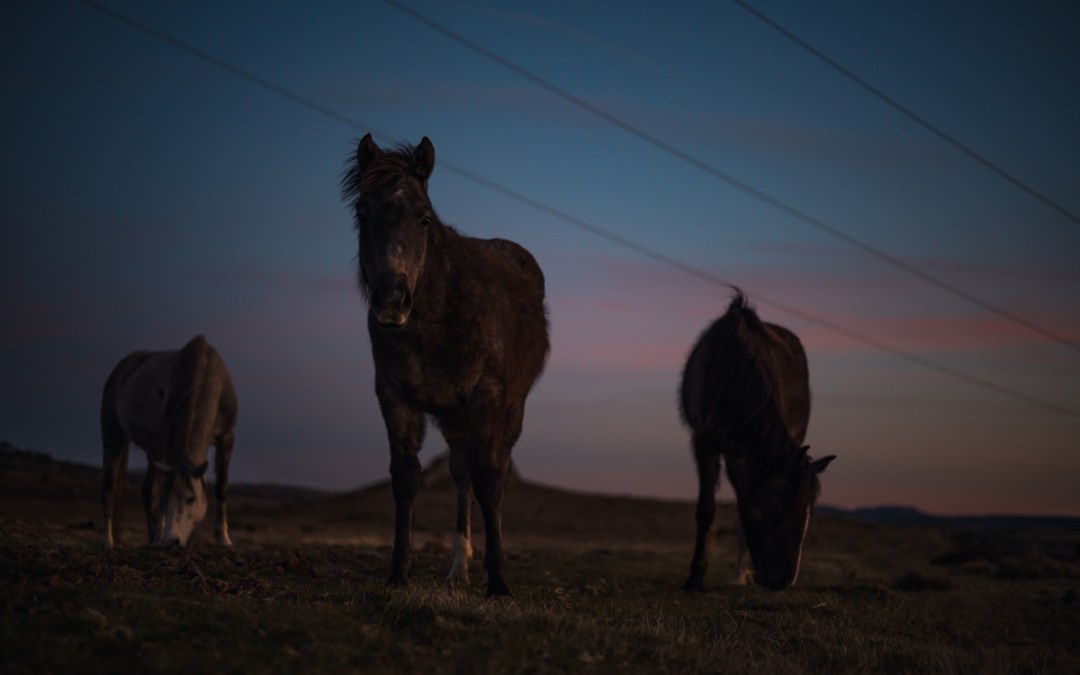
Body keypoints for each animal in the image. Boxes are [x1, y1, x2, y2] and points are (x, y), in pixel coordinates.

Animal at [100, 335, 237, 549]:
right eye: (167, 498)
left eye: (191, 499)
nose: (171, 542)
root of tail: (119, 371)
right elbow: (159, 492)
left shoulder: (227, 438)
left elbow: (221, 487)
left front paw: (223, 539)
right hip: (113, 437)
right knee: (109, 486)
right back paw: (108, 541)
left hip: (153, 452)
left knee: (147, 490)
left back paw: (153, 539)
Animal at [343, 134, 550, 597]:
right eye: (362, 214)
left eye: (423, 219)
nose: (391, 300)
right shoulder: (394, 396)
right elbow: (406, 476)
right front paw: (398, 573)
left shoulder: (489, 397)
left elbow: (490, 478)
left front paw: (499, 582)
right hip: (455, 419)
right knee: (460, 474)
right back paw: (458, 569)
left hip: (509, 410)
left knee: (493, 473)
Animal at [680, 291, 834, 590]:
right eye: (775, 510)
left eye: (809, 515)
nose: (783, 580)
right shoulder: (707, 445)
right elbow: (706, 510)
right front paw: (695, 577)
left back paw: (741, 573)